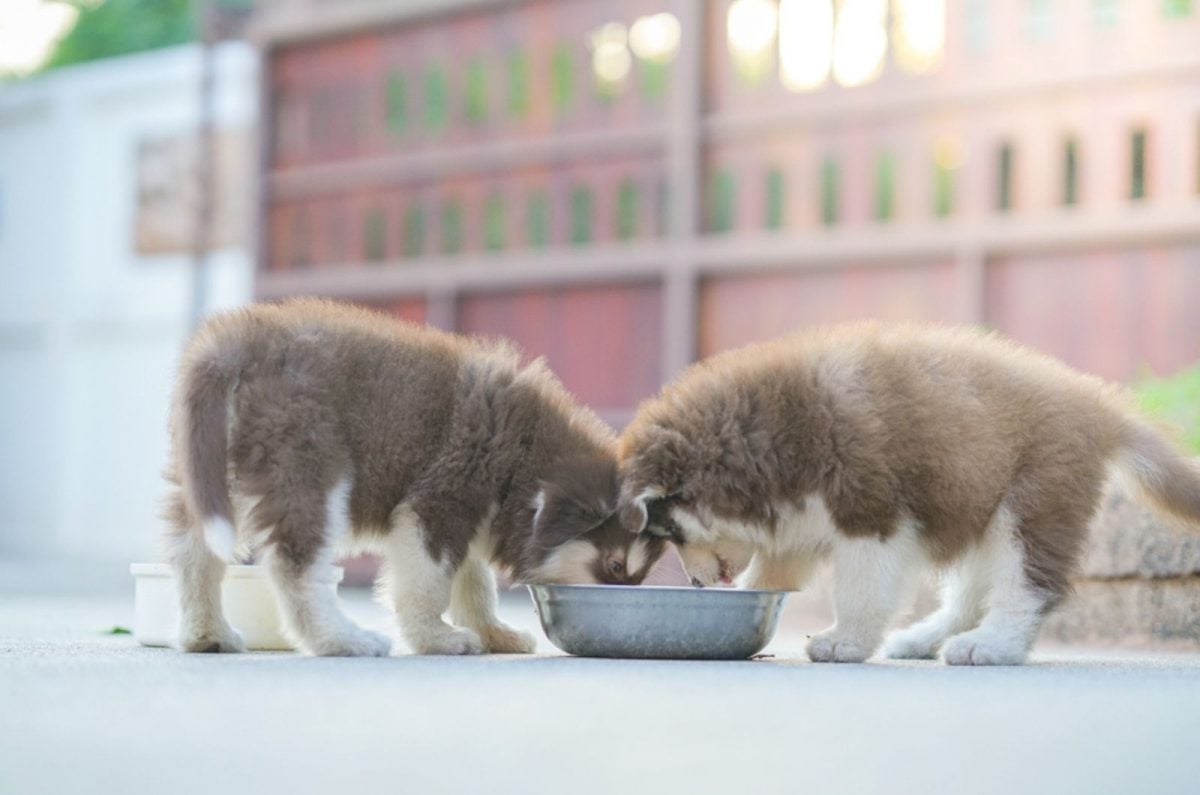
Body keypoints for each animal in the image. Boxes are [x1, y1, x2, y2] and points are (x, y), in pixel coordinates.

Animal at [165, 299, 667, 658]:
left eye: (638, 575)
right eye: (615, 567)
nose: (626, 608)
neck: (525, 453)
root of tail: (238, 341)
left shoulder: (469, 516)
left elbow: (474, 583)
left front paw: (492, 632)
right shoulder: (438, 503)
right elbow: (427, 583)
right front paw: (436, 638)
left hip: (211, 473)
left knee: (194, 554)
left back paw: (205, 634)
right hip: (307, 467)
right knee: (296, 567)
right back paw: (341, 640)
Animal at [619, 324, 1200, 667]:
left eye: (669, 531)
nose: (696, 585)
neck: (769, 435)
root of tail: (1098, 401)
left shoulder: (871, 516)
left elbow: (861, 589)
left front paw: (846, 641)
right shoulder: (800, 521)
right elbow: (772, 570)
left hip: (1031, 505)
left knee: (1027, 586)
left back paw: (993, 644)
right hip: (984, 508)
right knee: (971, 593)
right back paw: (927, 637)